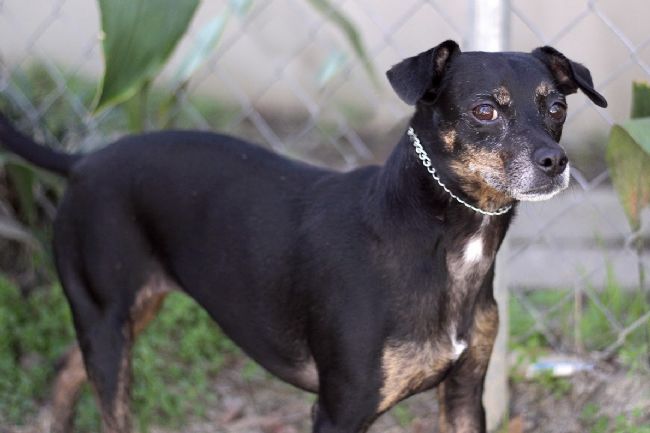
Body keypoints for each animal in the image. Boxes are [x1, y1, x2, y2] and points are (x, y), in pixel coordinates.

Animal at [0, 38, 604, 430]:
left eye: (557, 107)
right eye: (484, 111)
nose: (556, 161)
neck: (441, 241)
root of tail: (82, 162)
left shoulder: (464, 394)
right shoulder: (340, 408)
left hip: (128, 312)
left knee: (64, 369)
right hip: (107, 322)